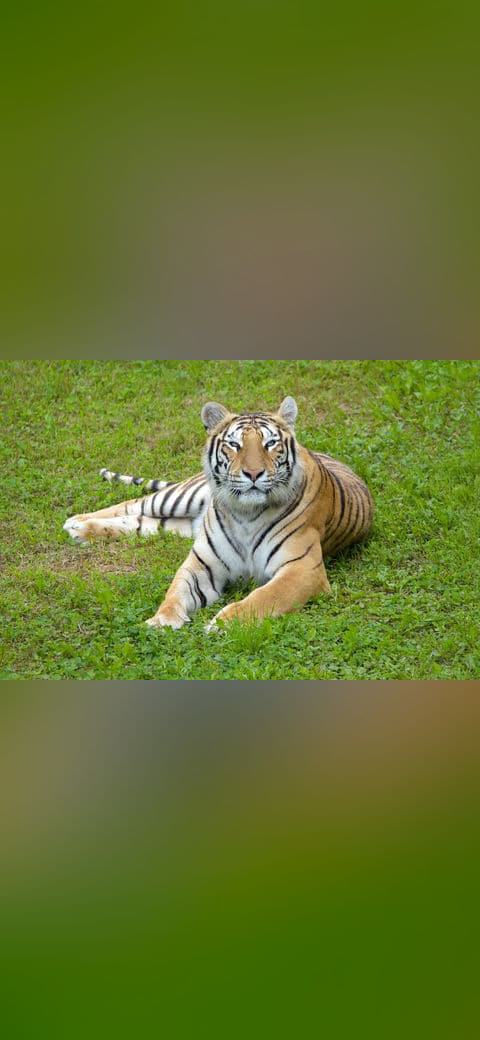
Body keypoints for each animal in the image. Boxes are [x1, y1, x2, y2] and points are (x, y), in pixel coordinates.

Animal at [63, 397, 374, 630]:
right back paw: (77, 523)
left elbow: (264, 596)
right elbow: (175, 592)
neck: (246, 513)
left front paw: (222, 623)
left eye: (270, 443)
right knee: (132, 504)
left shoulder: (303, 569)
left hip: (173, 524)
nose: (253, 473)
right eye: (234, 444)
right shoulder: (202, 565)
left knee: (138, 521)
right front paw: (160, 620)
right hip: (176, 498)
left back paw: (81, 531)